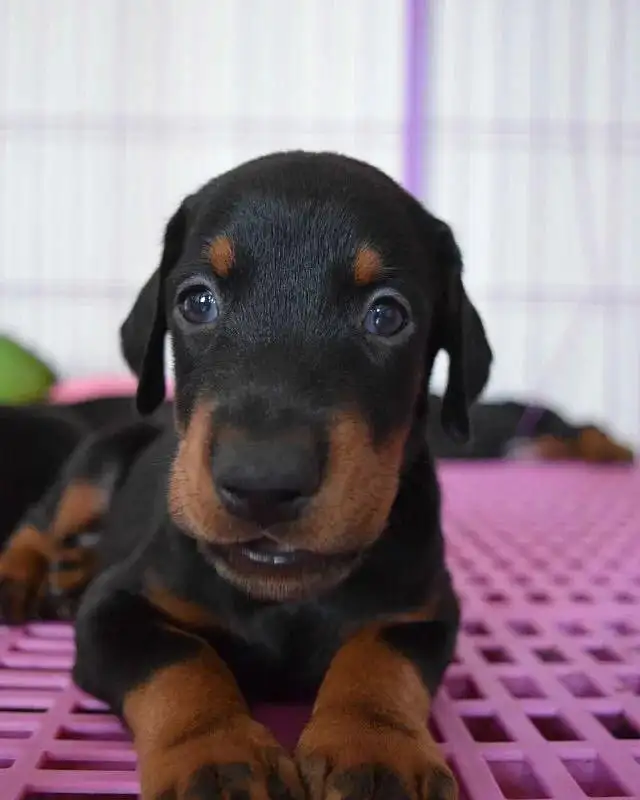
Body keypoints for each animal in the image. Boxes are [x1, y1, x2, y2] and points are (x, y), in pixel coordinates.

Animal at [0, 152, 492, 800]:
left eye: (387, 315)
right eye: (197, 302)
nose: (263, 483)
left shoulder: (424, 610)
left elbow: (382, 655)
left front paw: (374, 745)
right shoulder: (116, 610)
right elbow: (179, 659)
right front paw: (215, 754)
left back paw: (73, 570)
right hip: (97, 459)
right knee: (42, 521)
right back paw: (24, 575)